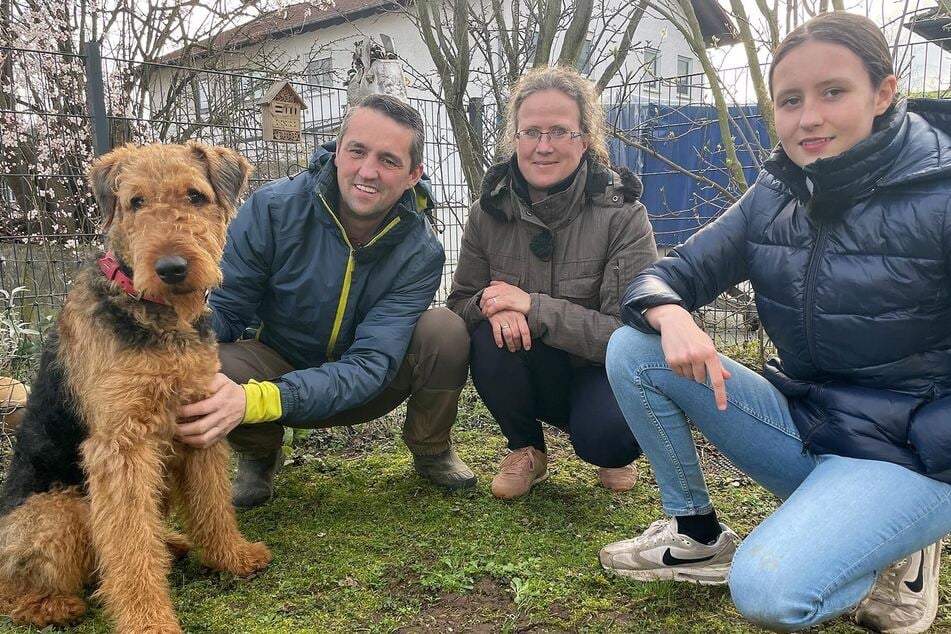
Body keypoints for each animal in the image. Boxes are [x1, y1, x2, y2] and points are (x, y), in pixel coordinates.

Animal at [0, 141, 272, 628]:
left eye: (195, 196)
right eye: (136, 202)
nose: (172, 268)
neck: (158, 316)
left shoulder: (199, 420)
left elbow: (213, 504)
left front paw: (232, 557)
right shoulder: (120, 446)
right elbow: (129, 546)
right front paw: (149, 621)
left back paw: (172, 543)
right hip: (65, 509)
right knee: (17, 589)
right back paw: (54, 605)